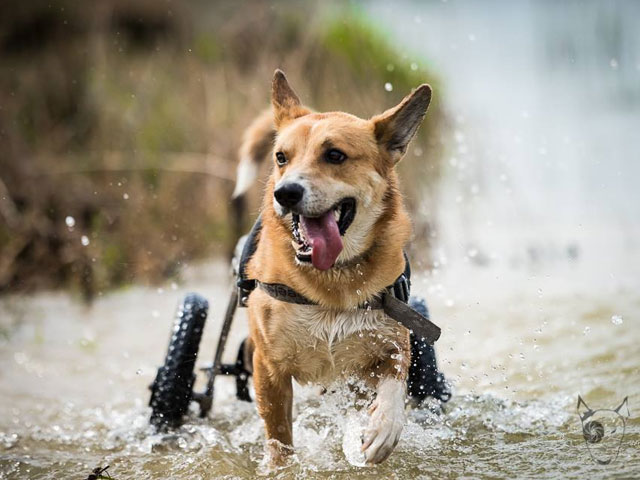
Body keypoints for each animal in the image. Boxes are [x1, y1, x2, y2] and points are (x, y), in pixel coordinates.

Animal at [232, 68, 432, 464]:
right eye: (281, 157)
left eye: (335, 155)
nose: (285, 193)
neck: (331, 280)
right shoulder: (269, 367)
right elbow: (279, 436)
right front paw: (280, 466)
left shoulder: (393, 343)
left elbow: (395, 386)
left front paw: (383, 429)